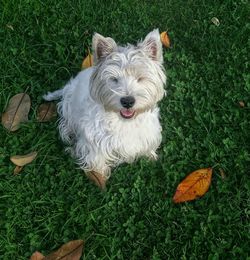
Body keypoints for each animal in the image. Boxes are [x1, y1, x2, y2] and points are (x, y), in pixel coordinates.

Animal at [44, 29, 167, 188]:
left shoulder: (146, 134)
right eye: (114, 79)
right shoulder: (94, 140)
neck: (124, 121)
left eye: (140, 78)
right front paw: (99, 177)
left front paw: (150, 157)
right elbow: (96, 158)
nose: (127, 101)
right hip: (68, 107)